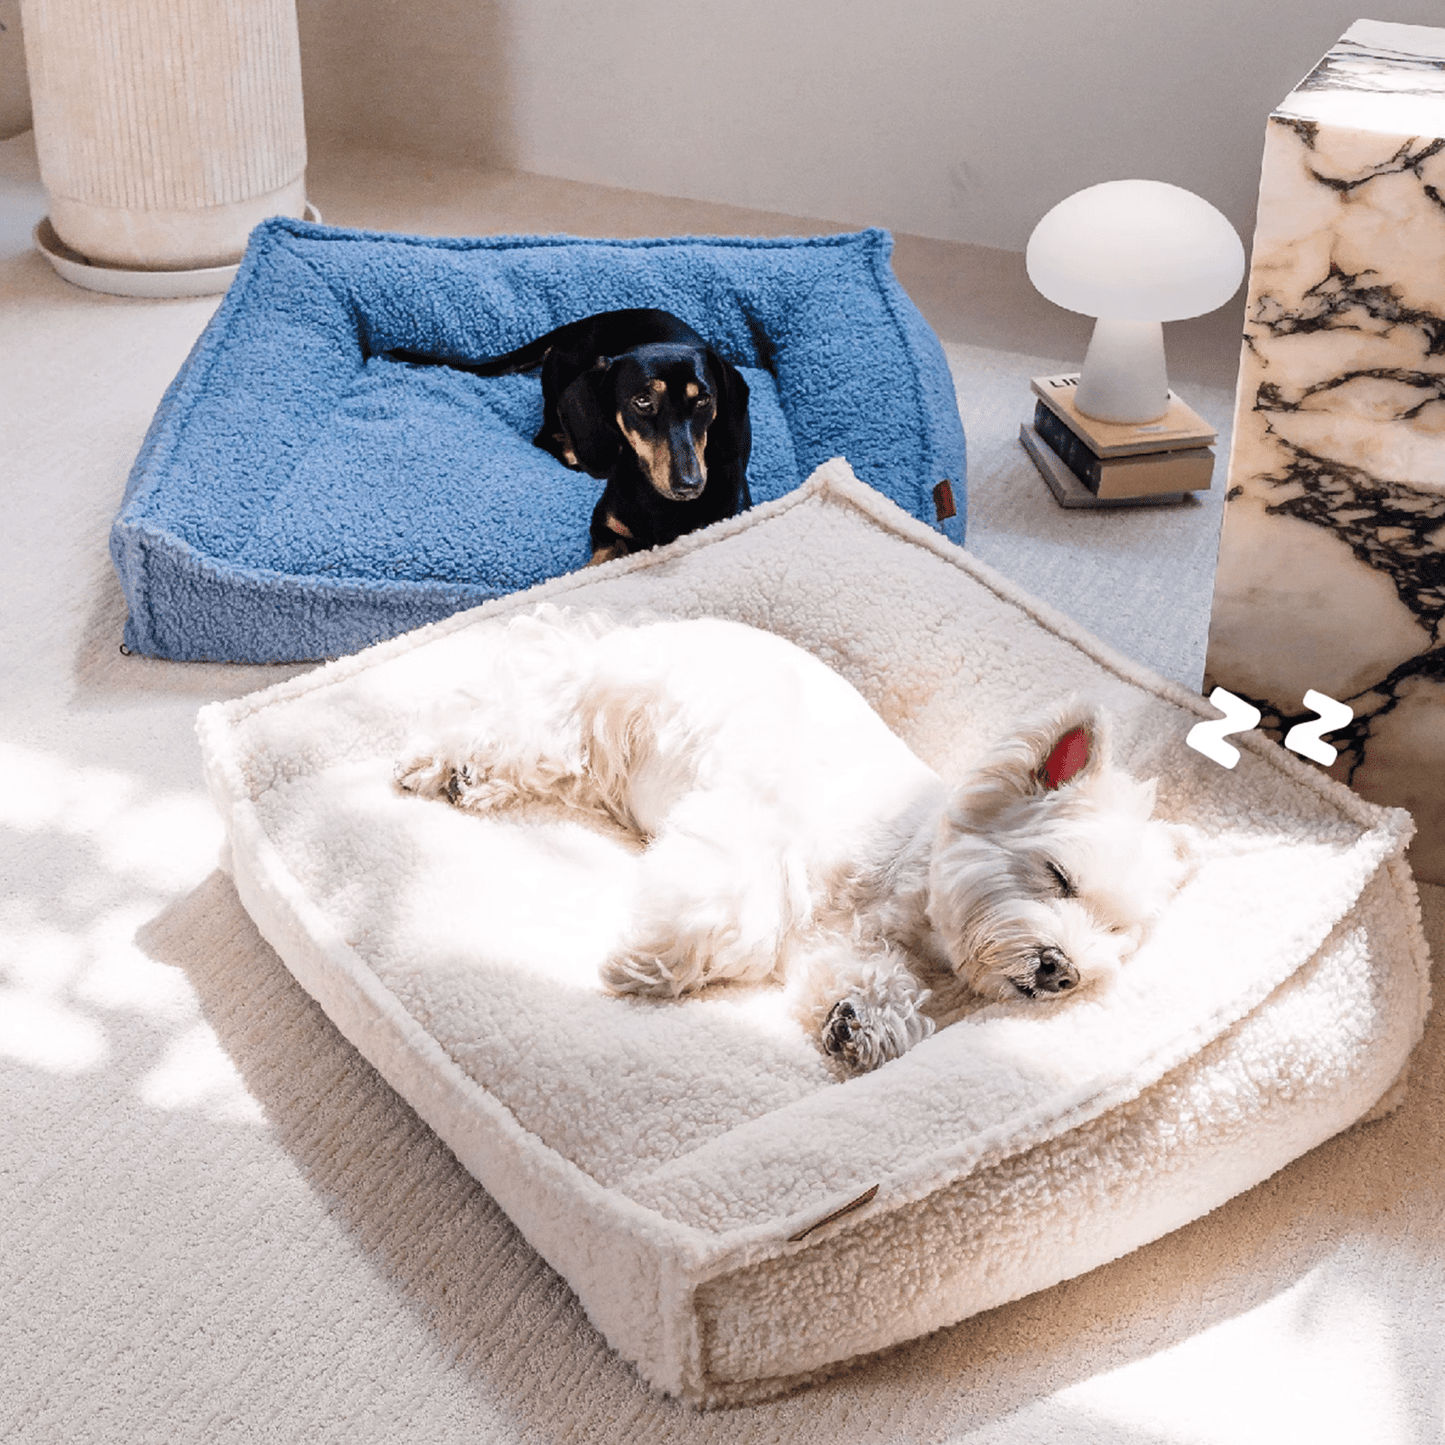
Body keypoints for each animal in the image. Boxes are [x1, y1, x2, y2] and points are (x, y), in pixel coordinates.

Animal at [390, 609, 1190, 1075]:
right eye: (1056, 875)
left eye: (1116, 936)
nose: (1062, 970)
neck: (900, 886)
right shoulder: (752, 827)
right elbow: (732, 915)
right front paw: (646, 963)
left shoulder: (855, 942)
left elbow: (855, 980)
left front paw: (859, 1023)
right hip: (599, 711)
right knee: (531, 727)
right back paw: (449, 764)